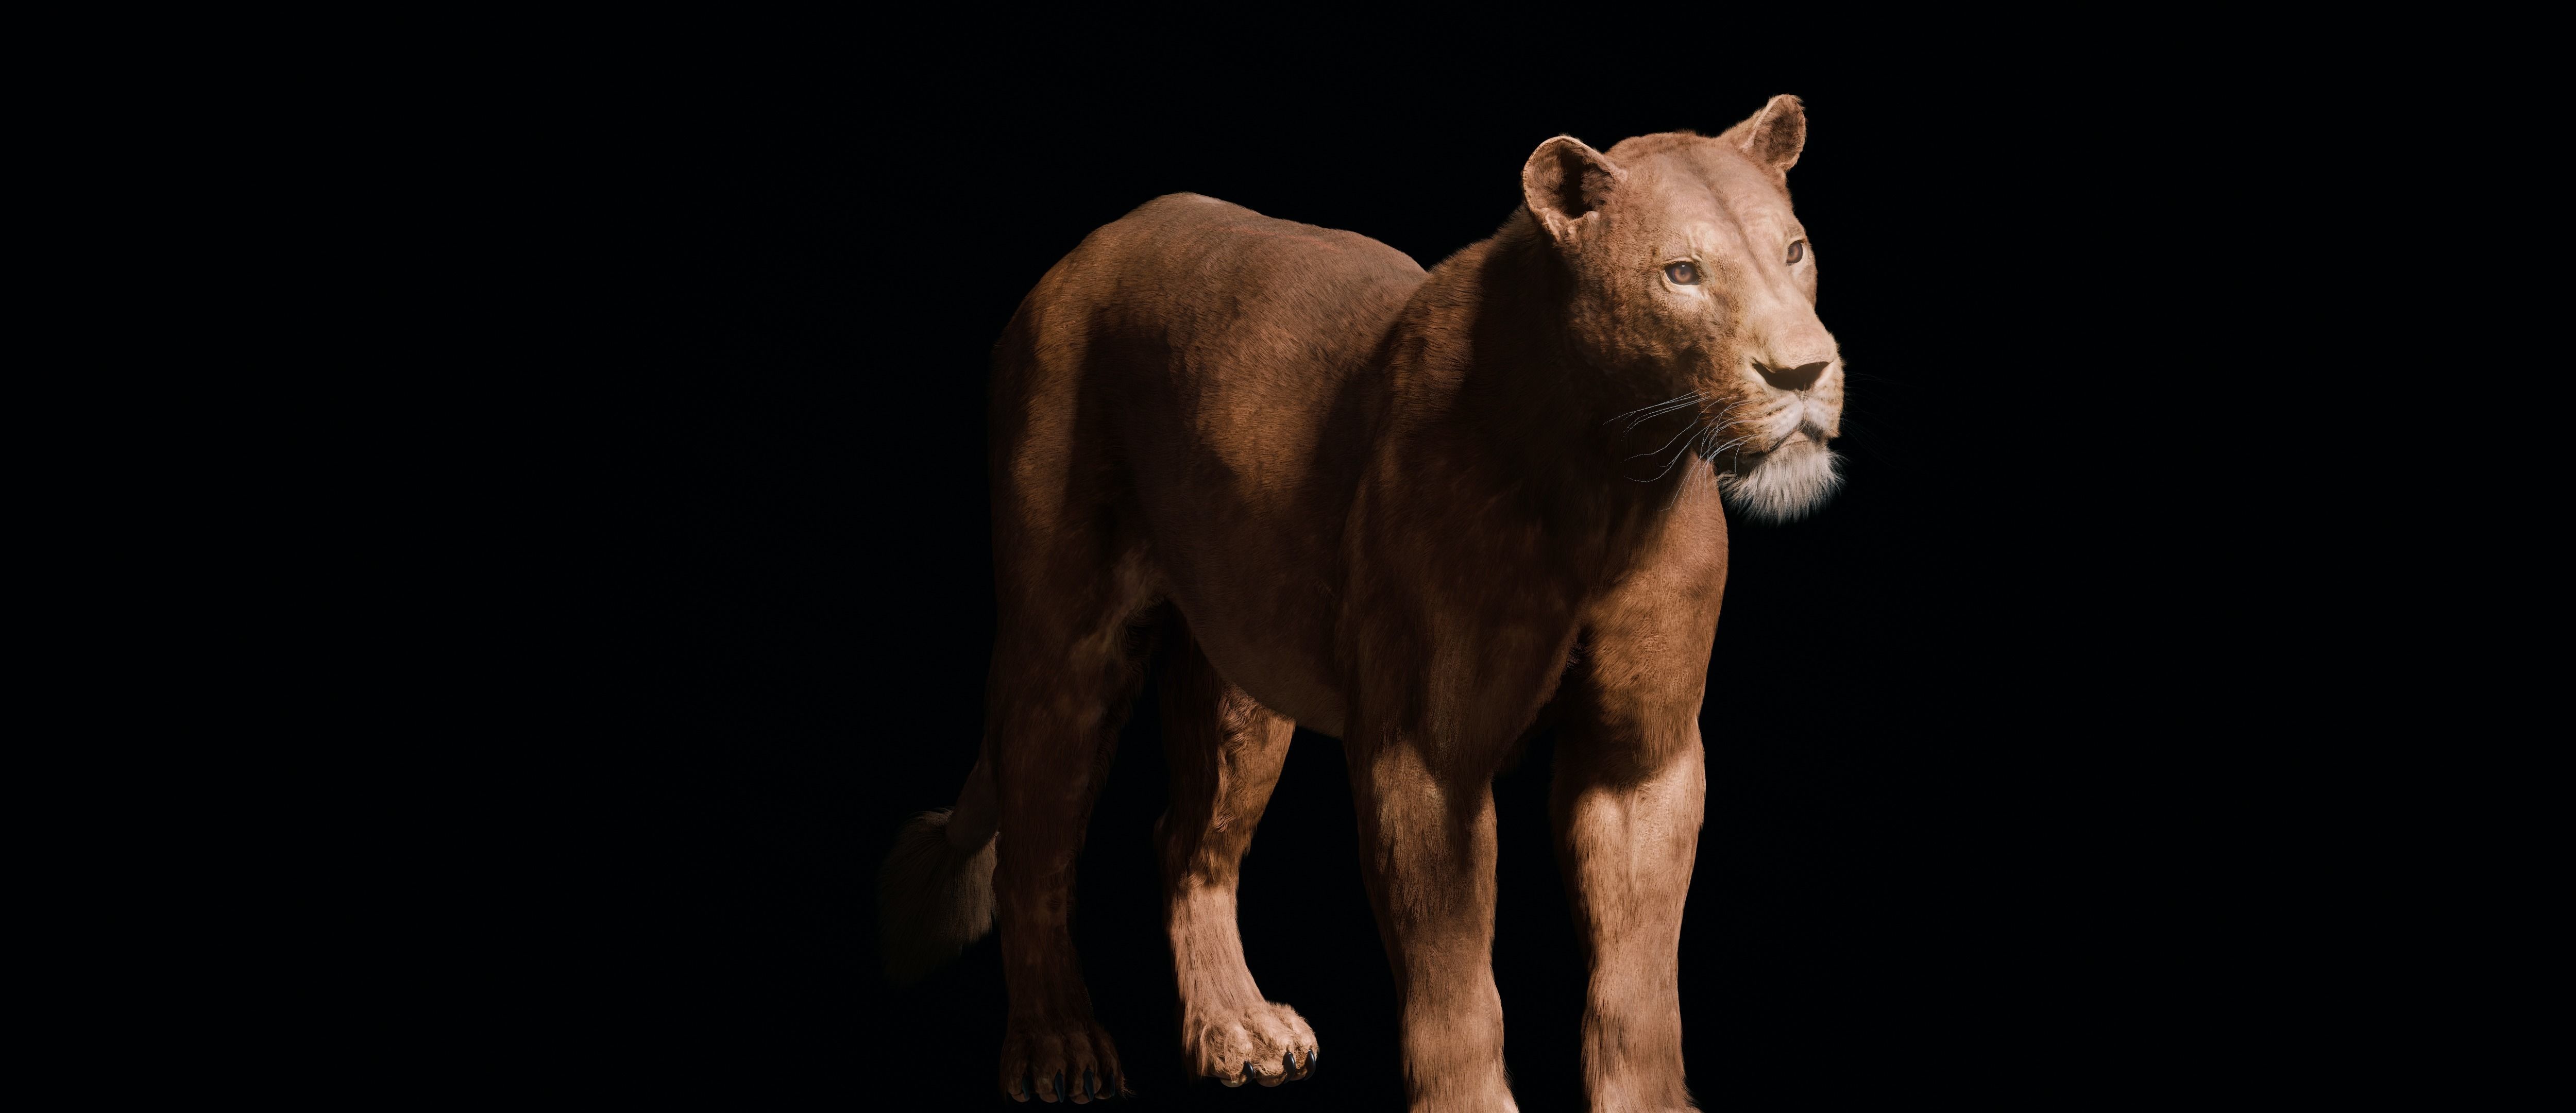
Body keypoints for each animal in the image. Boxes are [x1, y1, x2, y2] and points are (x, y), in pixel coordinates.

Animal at [880, 95, 1845, 1110]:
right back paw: (1060, 1049)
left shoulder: (1642, 754)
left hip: (1242, 682)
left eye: (1793, 250)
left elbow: (1638, 981)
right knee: (1034, 855)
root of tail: (1086, 252)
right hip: (1064, 644)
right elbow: (1454, 984)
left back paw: (1238, 1027)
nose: (1803, 373)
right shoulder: (1424, 753)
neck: (1611, 480)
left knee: (1187, 843)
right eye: (1681, 273)